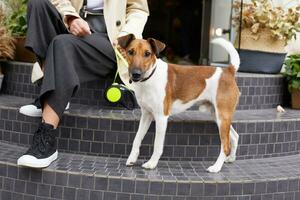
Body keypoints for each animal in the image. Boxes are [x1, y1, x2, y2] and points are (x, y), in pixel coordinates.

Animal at [116, 34, 239, 172]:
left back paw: (216, 167)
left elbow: (157, 144)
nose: (136, 74)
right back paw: (230, 159)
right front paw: (132, 159)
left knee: (226, 145)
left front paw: (152, 163)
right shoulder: (146, 115)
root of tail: (228, 71)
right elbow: (137, 138)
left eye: (147, 53)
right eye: (130, 52)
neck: (150, 77)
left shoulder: (161, 118)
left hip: (222, 117)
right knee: (235, 137)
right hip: (218, 116)